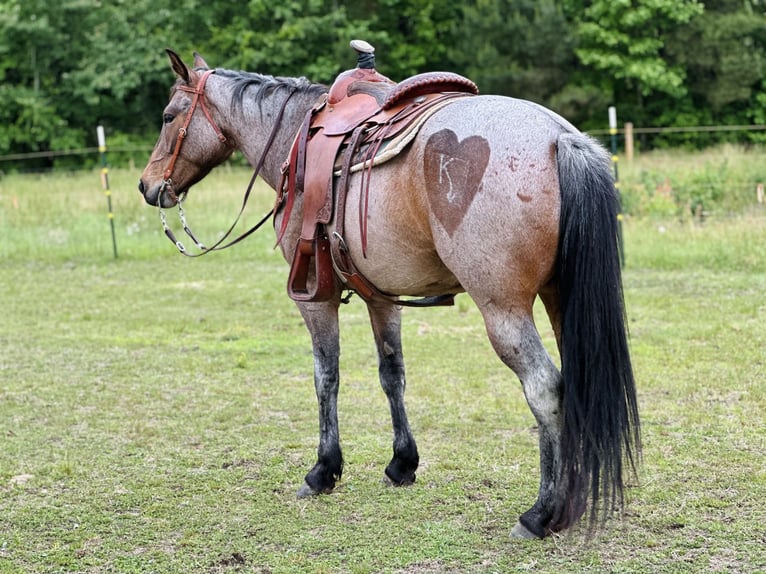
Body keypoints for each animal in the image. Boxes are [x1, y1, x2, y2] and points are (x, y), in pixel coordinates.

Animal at [138, 48, 640, 539]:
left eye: (167, 116)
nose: (147, 185)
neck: (297, 142)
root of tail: (559, 138)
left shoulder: (313, 298)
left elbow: (326, 376)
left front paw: (323, 470)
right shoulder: (382, 297)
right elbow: (391, 375)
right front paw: (402, 463)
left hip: (505, 311)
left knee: (545, 389)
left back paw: (541, 514)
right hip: (560, 300)